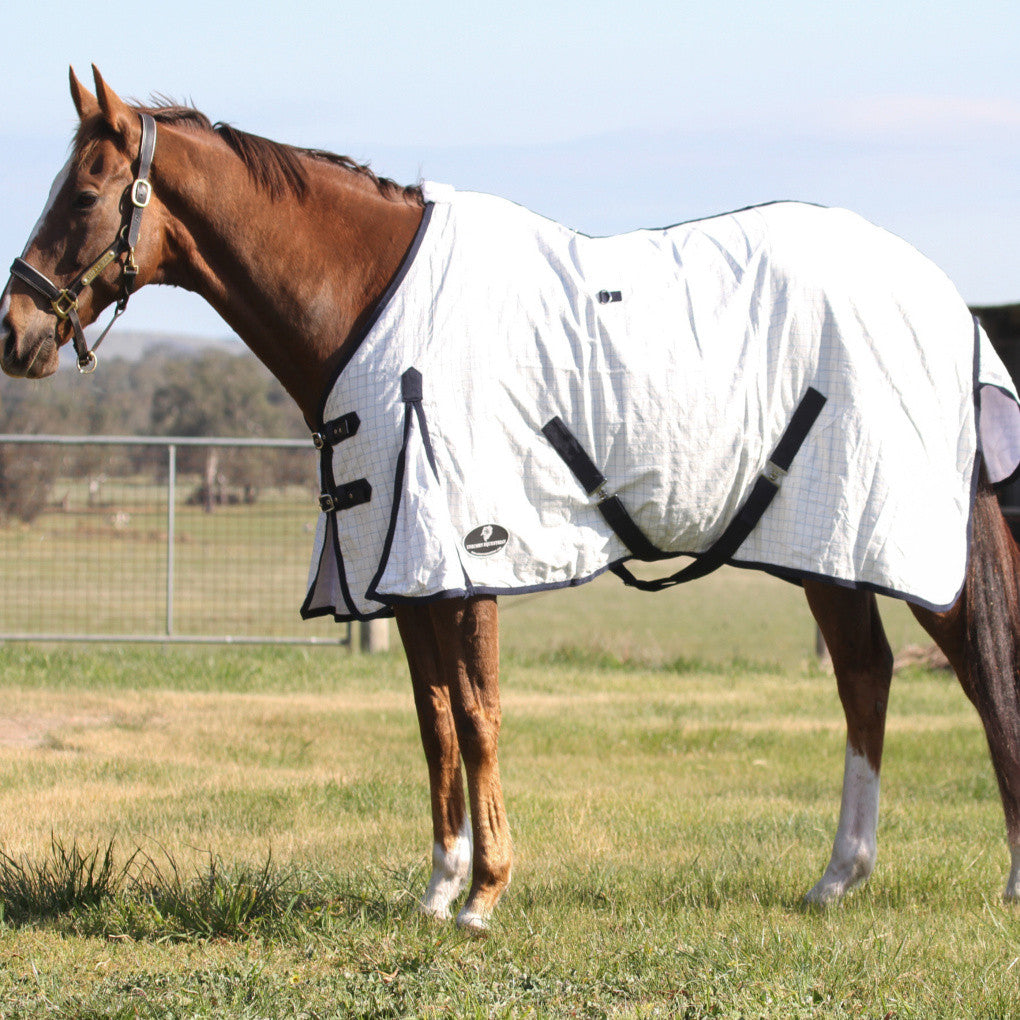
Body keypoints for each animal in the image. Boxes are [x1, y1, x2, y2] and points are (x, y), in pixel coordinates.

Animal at [3, 67, 1020, 934]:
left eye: (83, 195)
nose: (15, 332)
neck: (372, 301)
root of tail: (942, 298)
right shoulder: (404, 573)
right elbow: (434, 722)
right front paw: (438, 887)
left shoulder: (464, 560)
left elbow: (480, 713)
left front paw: (486, 895)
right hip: (823, 543)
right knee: (866, 675)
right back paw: (837, 879)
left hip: (905, 540)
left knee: (977, 669)